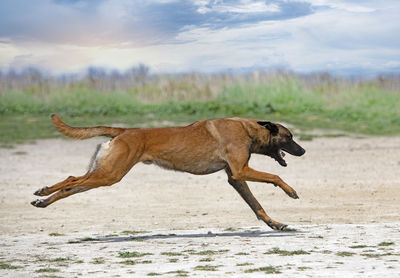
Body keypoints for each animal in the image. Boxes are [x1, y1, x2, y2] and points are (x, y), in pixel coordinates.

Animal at [32, 114, 306, 230]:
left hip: (103, 174)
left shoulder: (235, 178)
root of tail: (124, 131)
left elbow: (256, 205)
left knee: (71, 186)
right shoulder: (242, 170)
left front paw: (274, 223)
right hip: (109, 174)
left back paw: (43, 200)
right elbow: (275, 176)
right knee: (70, 179)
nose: (303, 151)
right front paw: (291, 191)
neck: (248, 129)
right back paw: (43, 191)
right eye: (289, 137)